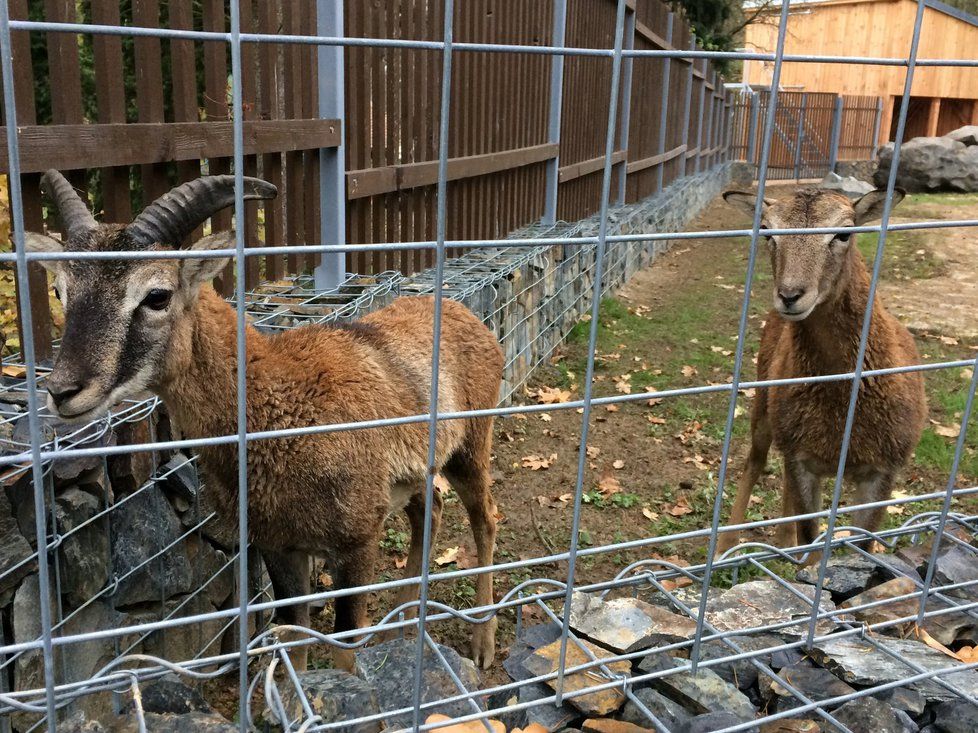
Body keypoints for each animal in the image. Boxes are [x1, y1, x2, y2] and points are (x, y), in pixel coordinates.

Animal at [23, 170, 504, 668]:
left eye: (156, 295)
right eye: (60, 291)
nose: (63, 391)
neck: (277, 404)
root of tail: (466, 315)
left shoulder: (356, 542)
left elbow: (345, 643)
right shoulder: (279, 545)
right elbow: (294, 635)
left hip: (472, 445)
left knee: (485, 517)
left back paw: (482, 644)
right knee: (430, 511)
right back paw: (404, 626)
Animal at [716, 186, 924, 552]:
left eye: (844, 232)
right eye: (767, 230)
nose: (789, 295)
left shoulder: (883, 470)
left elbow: (861, 546)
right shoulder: (803, 461)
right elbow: (812, 542)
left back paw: (783, 540)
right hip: (763, 405)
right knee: (755, 461)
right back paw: (726, 544)